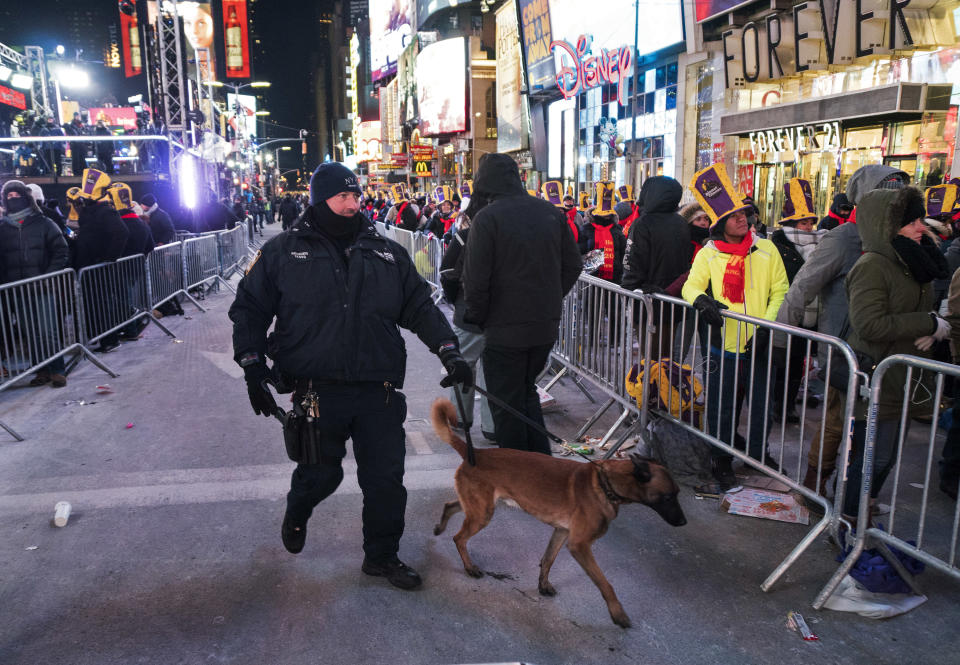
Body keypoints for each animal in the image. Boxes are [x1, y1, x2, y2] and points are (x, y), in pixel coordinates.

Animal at [432, 396, 688, 624]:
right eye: (668, 496)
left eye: (677, 494)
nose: (683, 522)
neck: (605, 482)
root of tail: (474, 452)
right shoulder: (579, 545)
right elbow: (605, 583)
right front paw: (618, 613)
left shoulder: (561, 532)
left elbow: (548, 559)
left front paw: (543, 584)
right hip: (482, 513)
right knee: (459, 538)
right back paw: (469, 566)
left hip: (480, 506)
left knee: (450, 506)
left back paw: (439, 527)